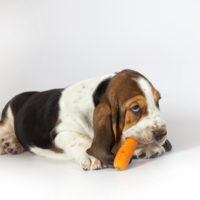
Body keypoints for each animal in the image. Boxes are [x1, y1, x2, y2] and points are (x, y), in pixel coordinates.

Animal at [0, 69, 172, 170]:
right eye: (135, 108)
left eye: (158, 101)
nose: (162, 134)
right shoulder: (61, 131)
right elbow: (79, 140)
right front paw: (92, 155)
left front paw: (148, 148)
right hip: (8, 114)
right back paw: (8, 143)